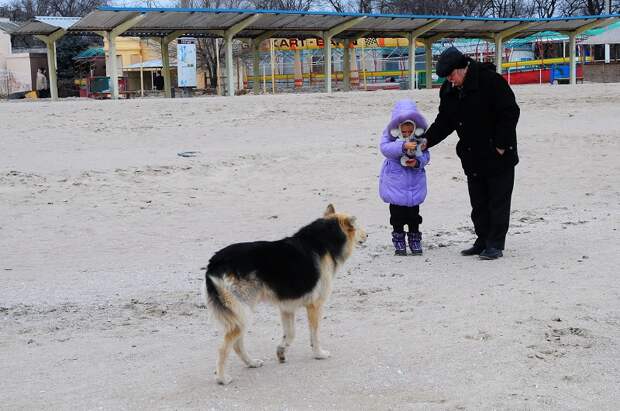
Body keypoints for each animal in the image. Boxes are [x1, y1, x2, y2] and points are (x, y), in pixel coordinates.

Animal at [203, 205, 368, 386]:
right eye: (357, 227)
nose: (367, 235)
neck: (326, 239)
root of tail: (214, 263)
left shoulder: (287, 307)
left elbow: (290, 334)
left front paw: (281, 352)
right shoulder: (315, 306)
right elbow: (315, 334)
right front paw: (319, 354)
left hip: (241, 314)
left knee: (236, 344)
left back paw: (251, 363)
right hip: (242, 312)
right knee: (224, 347)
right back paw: (222, 378)